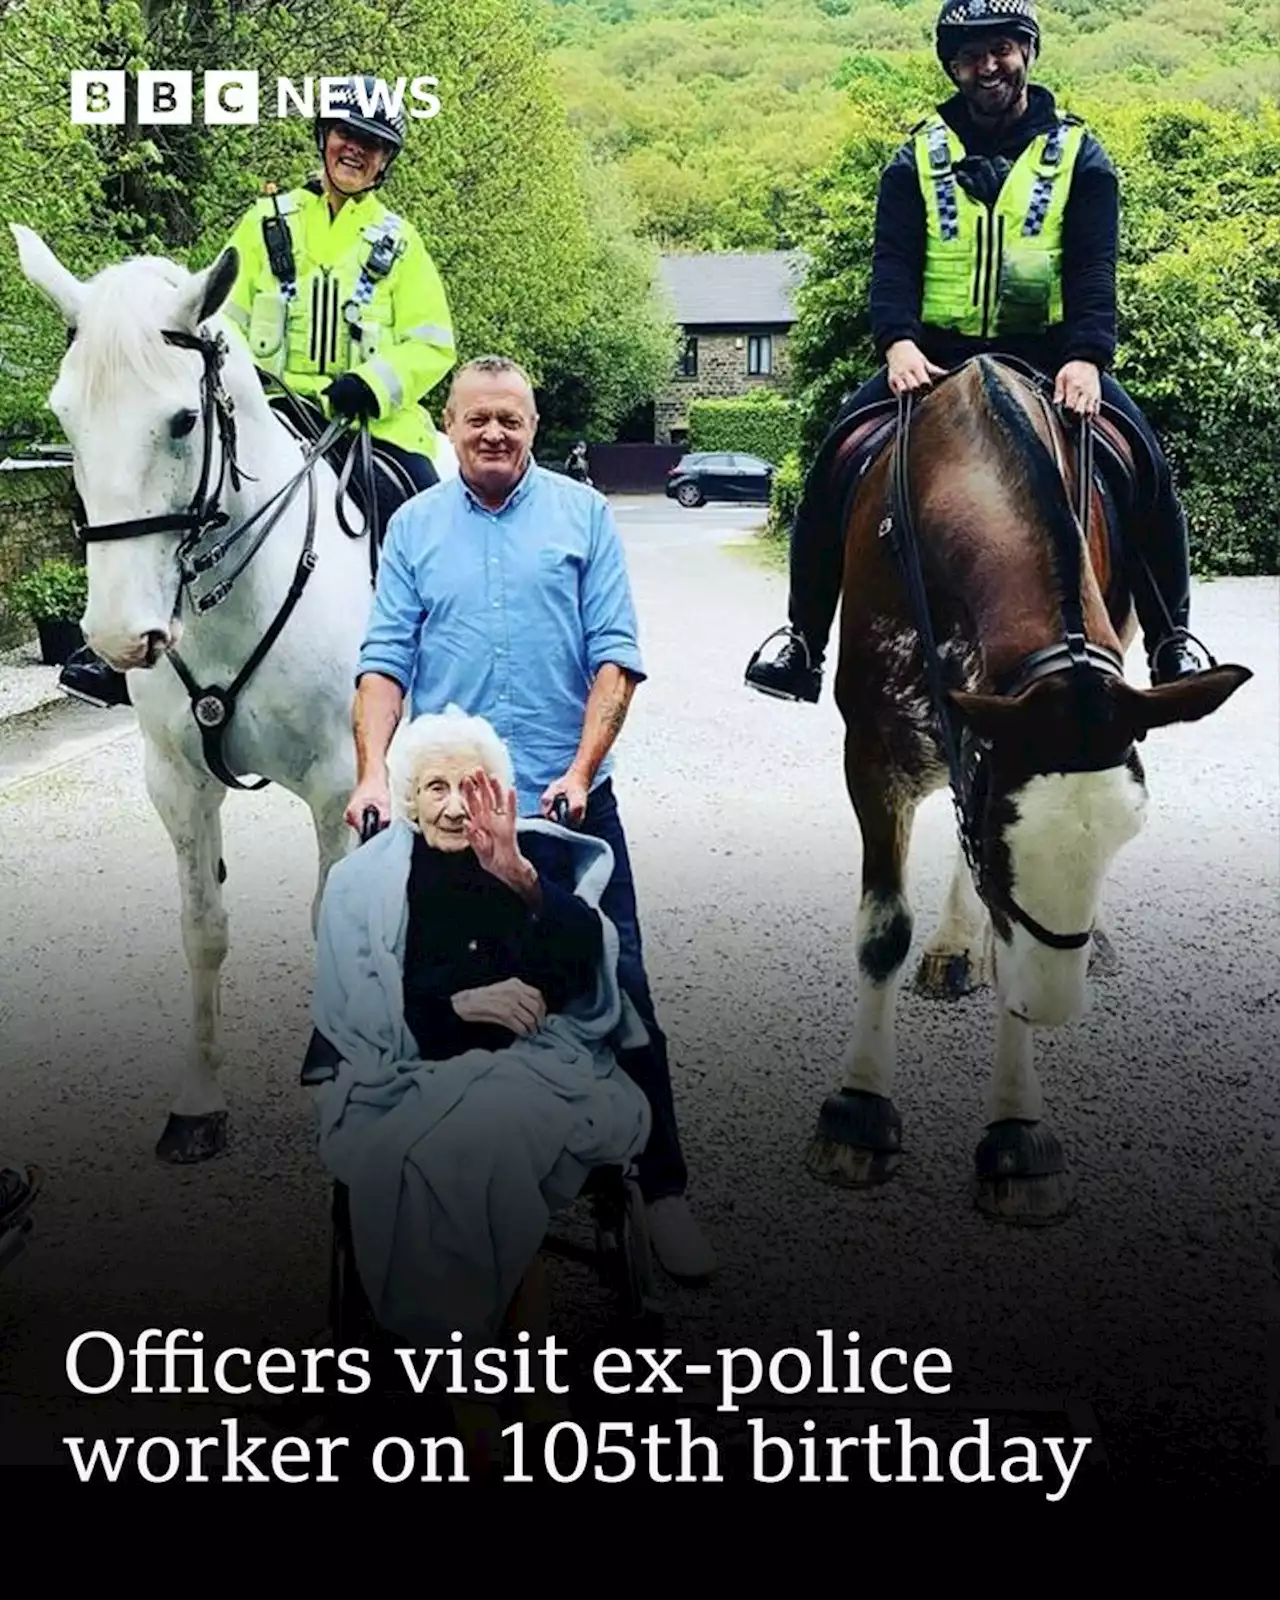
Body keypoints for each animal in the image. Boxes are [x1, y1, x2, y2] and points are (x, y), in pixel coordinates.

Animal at [11, 225, 460, 1164]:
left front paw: (333, 1060)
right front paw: (197, 1101)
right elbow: (203, 929)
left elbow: (330, 911)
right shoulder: (177, 785)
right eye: (65, 415)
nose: (118, 634)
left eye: (183, 420)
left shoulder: (336, 783)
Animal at [806, 353, 1248, 1222]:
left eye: (1128, 836)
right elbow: (883, 929)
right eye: (1002, 836)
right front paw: (859, 1113)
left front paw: (1016, 1134)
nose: (1052, 1006)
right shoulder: (873, 750)